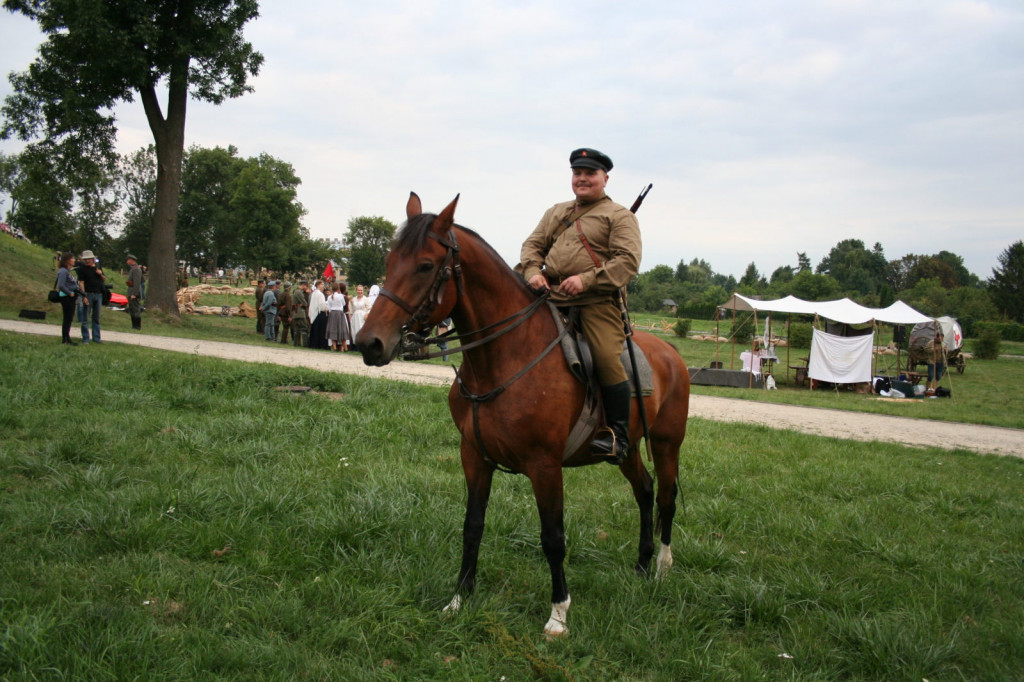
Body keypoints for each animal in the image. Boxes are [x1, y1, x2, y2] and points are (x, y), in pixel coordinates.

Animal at [356, 192, 692, 638]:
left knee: (667, 498)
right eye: (390, 260)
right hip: (628, 448)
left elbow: (553, 537)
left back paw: (662, 567)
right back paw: (640, 565)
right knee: (645, 491)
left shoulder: (544, 465)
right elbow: (472, 526)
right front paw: (458, 600)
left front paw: (558, 614)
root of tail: (670, 352)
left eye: (426, 265)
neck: (504, 356)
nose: (369, 343)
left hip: (668, 444)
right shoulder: (474, 456)